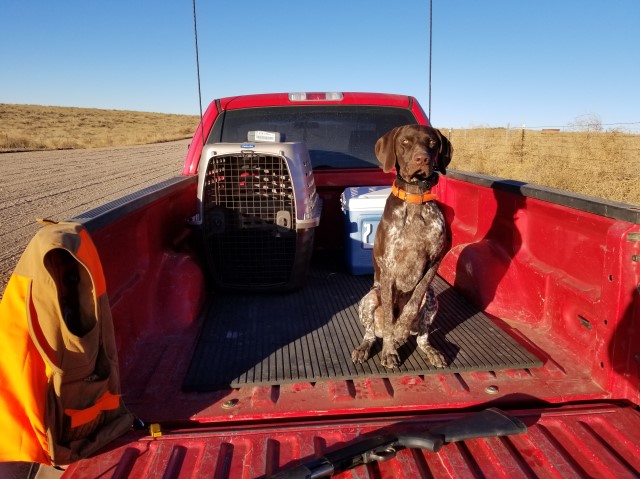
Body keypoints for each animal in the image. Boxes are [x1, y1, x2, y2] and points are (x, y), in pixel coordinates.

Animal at [352, 125, 452, 370]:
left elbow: (411, 305)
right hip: (370, 298)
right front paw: (389, 351)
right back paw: (364, 348)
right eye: (405, 142)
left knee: (422, 336)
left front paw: (400, 331)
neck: (415, 200)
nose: (422, 159)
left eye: (432, 143)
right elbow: (390, 317)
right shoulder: (388, 268)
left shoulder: (434, 261)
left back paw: (429, 350)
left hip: (432, 300)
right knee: (371, 333)